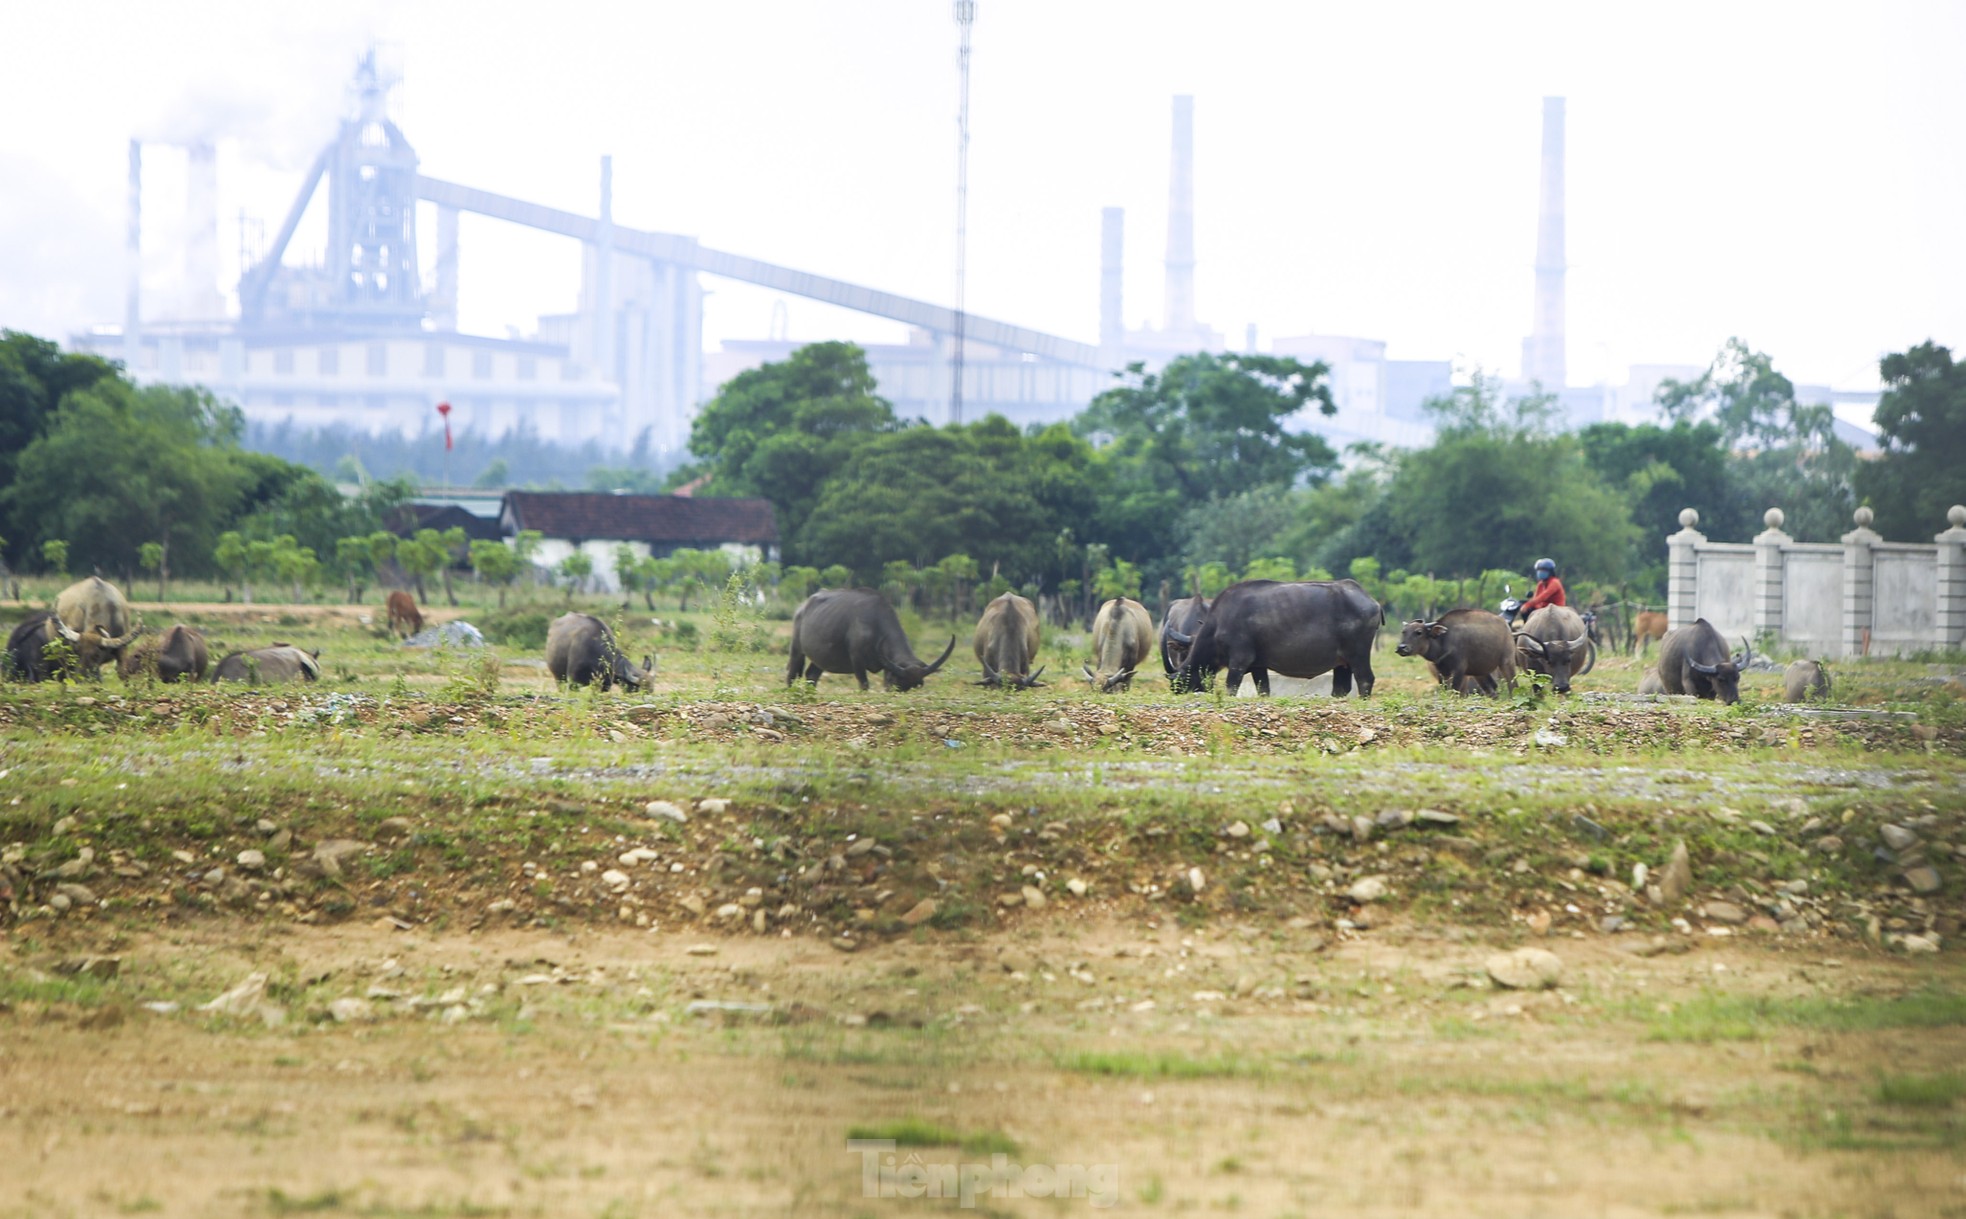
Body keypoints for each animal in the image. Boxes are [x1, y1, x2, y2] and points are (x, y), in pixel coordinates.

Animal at [790, 593, 959, 696]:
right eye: (897, 683)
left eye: (918, 685)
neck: (874, 624)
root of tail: (802, 607)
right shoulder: (857, 660)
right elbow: (864, 684)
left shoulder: (886, 665)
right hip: (797, 649)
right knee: (792, 672)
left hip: (821, 658)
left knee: (811, 674)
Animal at [1171, 578, 1391, 696]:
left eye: (1180, 680)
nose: (1176, 692)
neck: (1218, 623)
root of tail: (1371, 601)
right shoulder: (1258, 666)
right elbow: (1264, 690)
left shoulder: (1239, 661)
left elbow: (1231, 686)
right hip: (1342, 663)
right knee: (1341, 688)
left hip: (1358, 654)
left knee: (1365, 679)